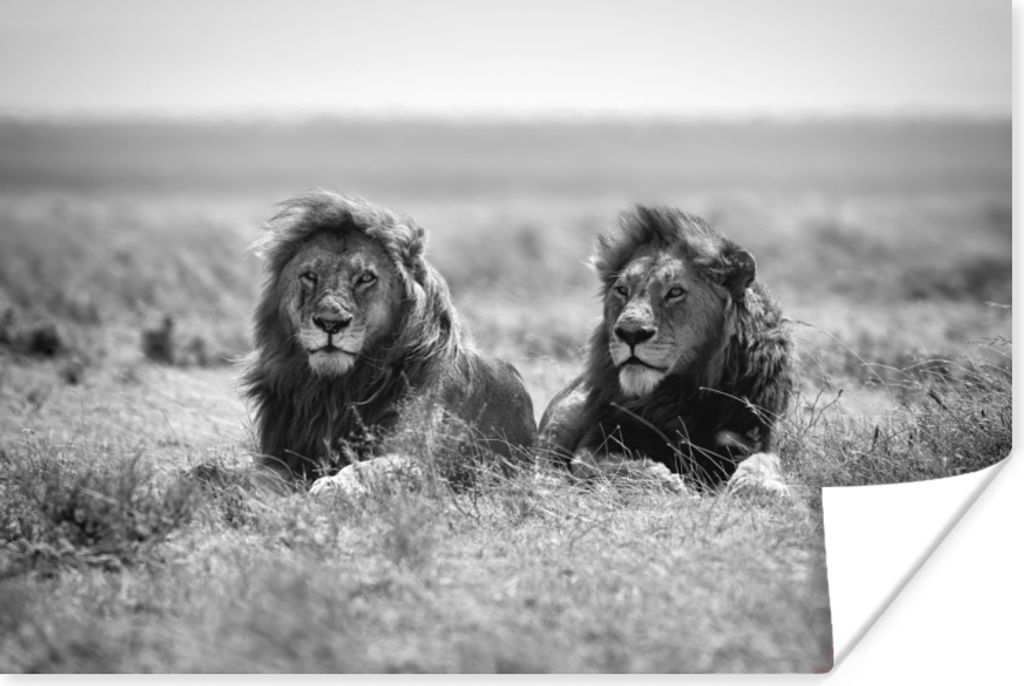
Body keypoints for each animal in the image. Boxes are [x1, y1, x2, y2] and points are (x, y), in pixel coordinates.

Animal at [240, 190, 537, 494]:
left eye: (365, 278)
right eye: (310, 276)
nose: (330, 323)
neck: (336, 390)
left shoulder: (418, 459)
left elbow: (364, 469)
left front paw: (331, 486)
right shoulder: (280, 455)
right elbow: (255, 477)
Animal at [538, 205, 794, 495]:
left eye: (675, 292)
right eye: (622, 290)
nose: (630, 333)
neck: (680, 395)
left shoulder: (754, 433)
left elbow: (764, 461)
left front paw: (762, 487)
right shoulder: (598, 440)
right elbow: (608, 464)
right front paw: (668, 482)